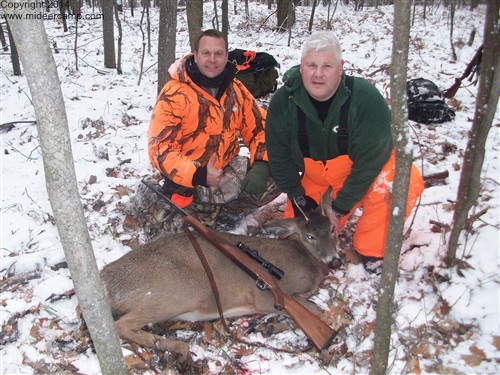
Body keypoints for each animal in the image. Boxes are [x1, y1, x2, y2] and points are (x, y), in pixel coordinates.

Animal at [99, 194, 338, 362]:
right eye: (310, 236)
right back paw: (179, 348)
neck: (306, 260)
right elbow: (317, 311)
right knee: (123, 325)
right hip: (174, 293)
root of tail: (106, 280)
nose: (334, 260)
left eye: (332, 229)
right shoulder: (267, 296)